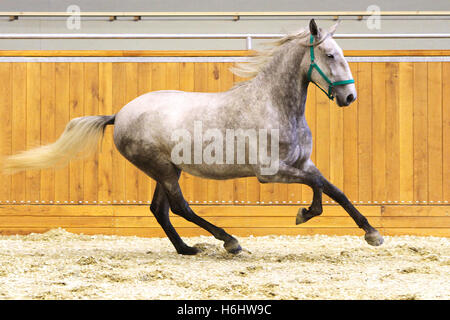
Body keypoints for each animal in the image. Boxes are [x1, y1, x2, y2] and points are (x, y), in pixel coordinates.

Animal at [4, 20, 384, 255]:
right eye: (330, 55)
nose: (349, 97)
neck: (274, 104)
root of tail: (119, 115)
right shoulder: (271, 172)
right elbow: (319, 187)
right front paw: (305, 214)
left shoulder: (302, 162)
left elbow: (333, 188)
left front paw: (371, 233)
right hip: (163, 169)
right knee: (178, 207)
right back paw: (228, 241)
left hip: (166, 170)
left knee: (160, 210)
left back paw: (186, 249)